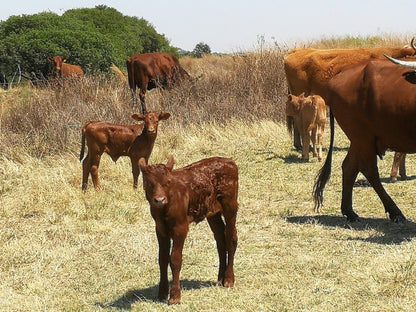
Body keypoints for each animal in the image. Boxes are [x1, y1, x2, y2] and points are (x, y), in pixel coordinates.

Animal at [139, 156, 239, 304]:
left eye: (168, 182)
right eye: (149, 183)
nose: (159, 200)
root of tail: (228, 160)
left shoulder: (180, 227)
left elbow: (175, 259)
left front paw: (175, 296)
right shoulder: (160, 228)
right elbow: (162, 258)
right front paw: (162, 293)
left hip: (230, 205)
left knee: (231, 238)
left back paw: (228, 279)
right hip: (212, 212)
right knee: (220, 239)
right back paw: (220, 279)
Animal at [312, 58, 416, 222]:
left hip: (359, 140)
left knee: (349, 167)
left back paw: (350, 212)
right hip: (363, 138)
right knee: (369, 169)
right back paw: (395, 212)